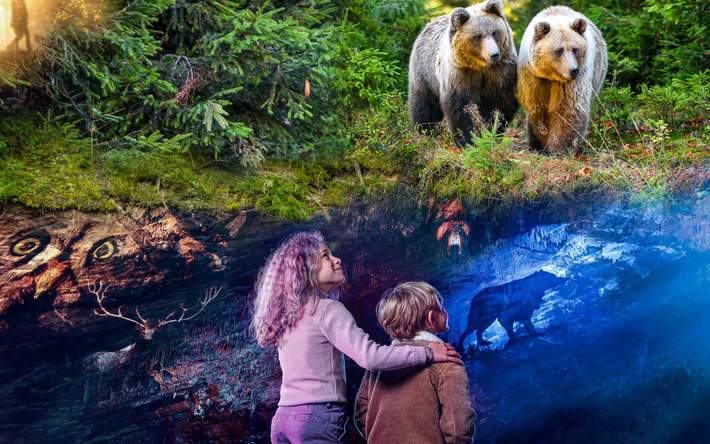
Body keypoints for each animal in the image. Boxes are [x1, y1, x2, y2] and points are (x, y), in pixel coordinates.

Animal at [408, 0, 520, 147]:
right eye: (477, 36)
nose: (494, 55)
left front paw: (492, 131)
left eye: (494, 32)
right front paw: (467, 140)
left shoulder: (500, 72)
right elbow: (461, 106)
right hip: (424, 73)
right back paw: (426, 132)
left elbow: (499, 103)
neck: (481, 66)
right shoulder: (460, 73)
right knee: (424, 105)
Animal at [516, 3, 612, 154]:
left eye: (575, 49)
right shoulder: (534, 76)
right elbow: (538, 106)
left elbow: (568, 108)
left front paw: (556, 148)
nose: (573, 70)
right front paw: (543, 140)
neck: (551, 75)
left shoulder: (573, 80)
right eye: (558, 50)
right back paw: (534, 144)